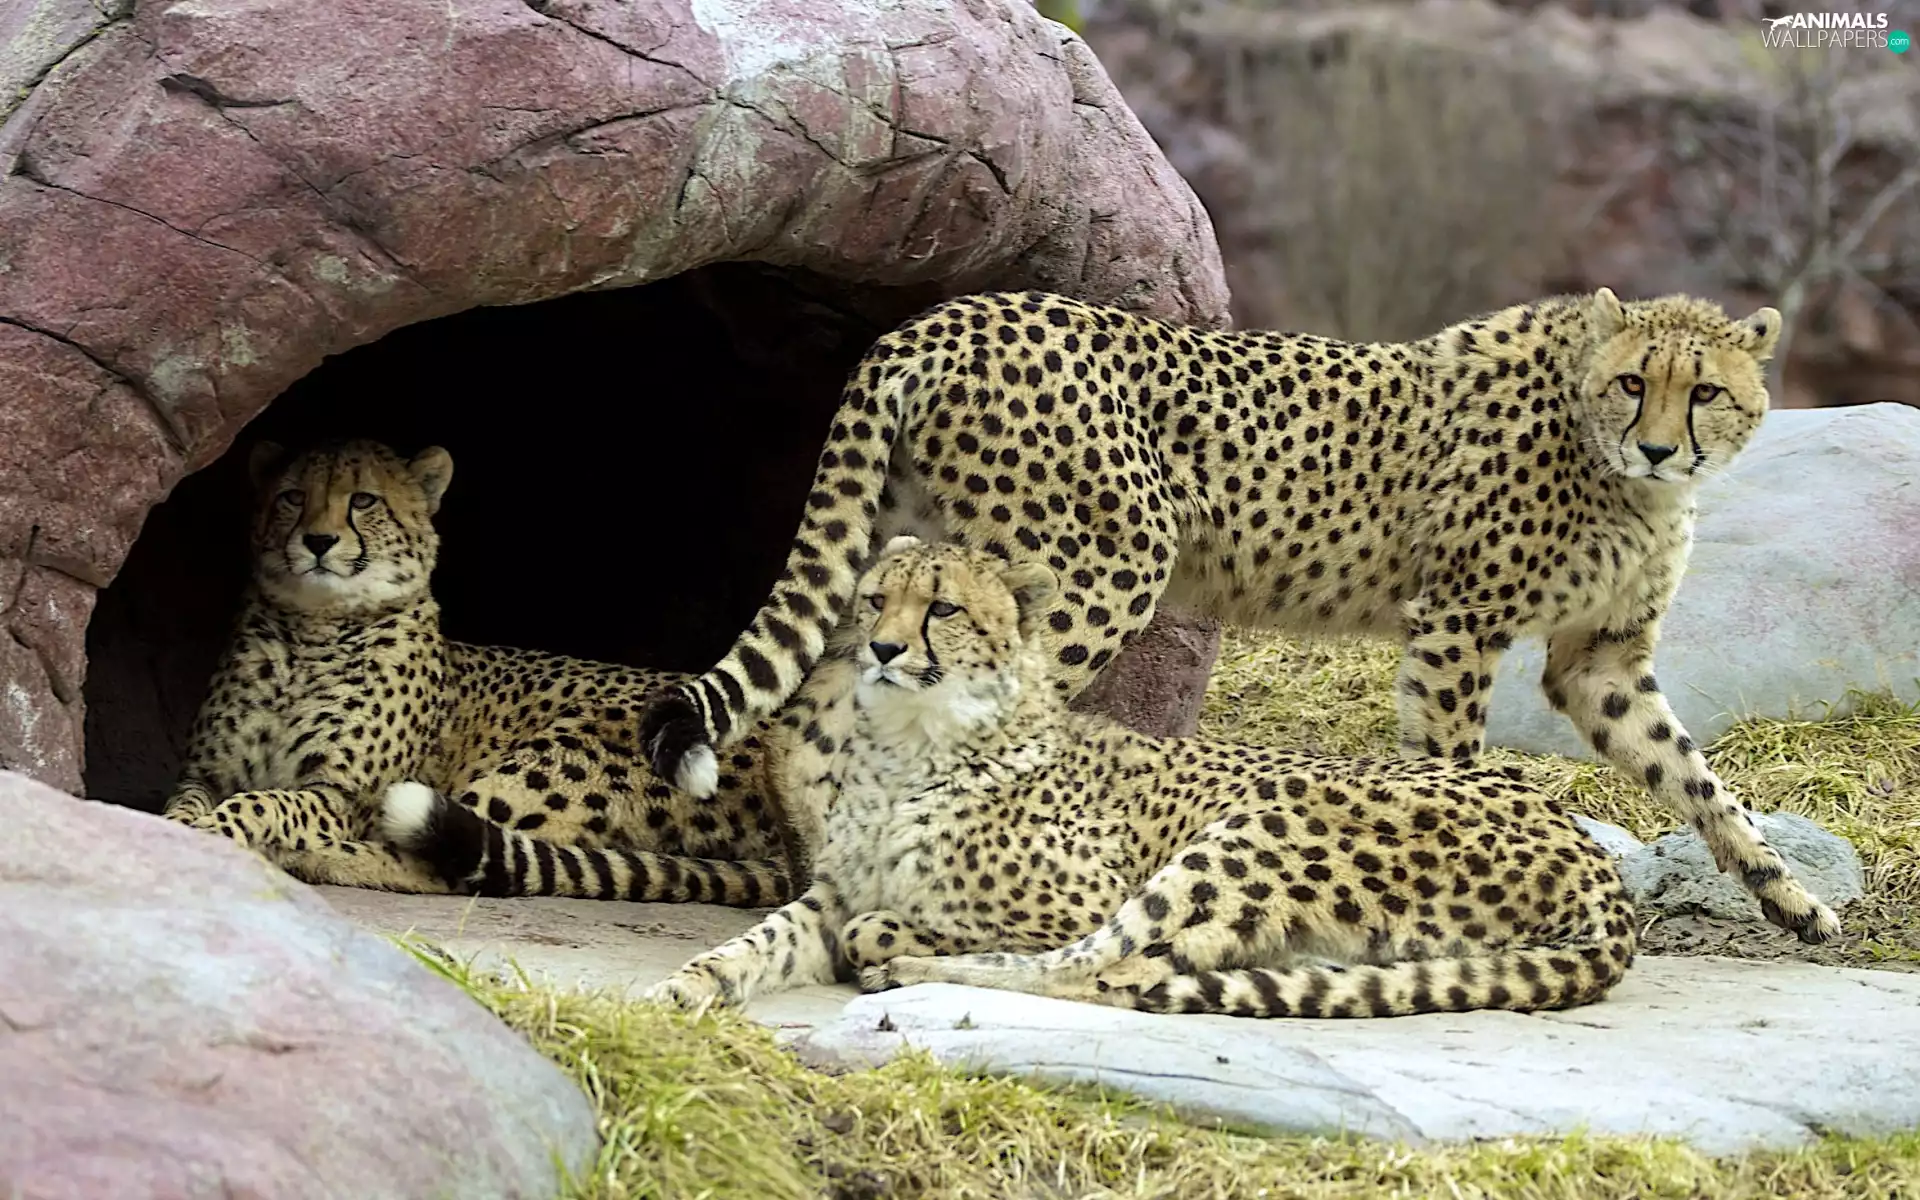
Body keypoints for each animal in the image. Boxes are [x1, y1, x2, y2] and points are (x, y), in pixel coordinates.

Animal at [162, 438, 798, 906]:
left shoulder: (344, 794)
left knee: (452, 865)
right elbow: (188, 804)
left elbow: (267, 802)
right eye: (292, 497)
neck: (310, 631)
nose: (317, 540)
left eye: (363, 501)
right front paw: (179, 832)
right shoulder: (205, 771)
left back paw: (302, 856)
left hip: (552, 759)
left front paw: (227, 833)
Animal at [639, 286, 1840, 944]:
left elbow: (1696, 777)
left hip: (902, 560)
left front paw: (1787, 897)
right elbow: (1454, 759)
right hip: (1103, 560)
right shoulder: (1458, 621)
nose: (1661, 446)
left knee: (824, 697)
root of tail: (948, 312)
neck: (1616, 470)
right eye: (1636, 384)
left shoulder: (1601, 660)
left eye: (1706, 391)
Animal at [639, 538, 1636, 1017]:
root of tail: (1592, 856)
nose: (881, 648)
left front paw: (894, 940)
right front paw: (682, 990)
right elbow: (759, 943)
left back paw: (906, 965)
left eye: (943, 609)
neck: (909, 744)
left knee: (1111, 971)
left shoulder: (1082, 894)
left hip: (1256, 824)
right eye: (875, 598)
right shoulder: (832, 892)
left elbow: (1004, 934)